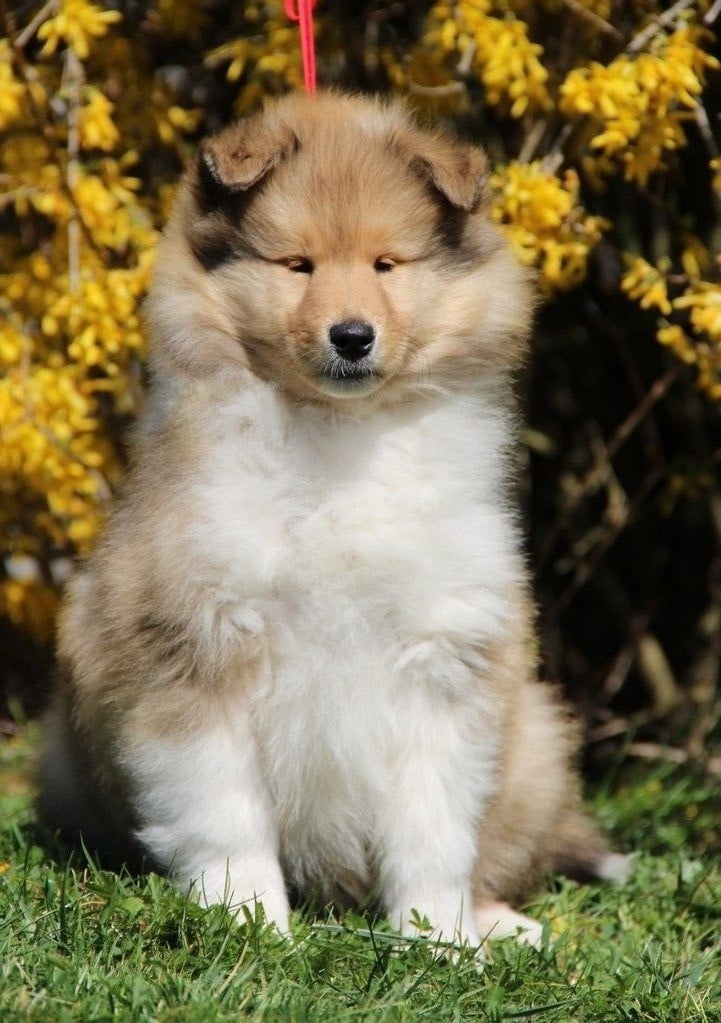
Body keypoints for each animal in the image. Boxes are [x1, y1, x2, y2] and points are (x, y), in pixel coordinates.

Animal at [38, 91, 626, 953]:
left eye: (387, 264)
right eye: (297, 265)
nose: (352, 336)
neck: (338, 433)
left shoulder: (442, 655)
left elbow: (433, 824)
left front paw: (440, 937)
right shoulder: (196, 646)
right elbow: (225, 812)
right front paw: (249, 921)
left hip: (534, 742)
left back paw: (501, 922)